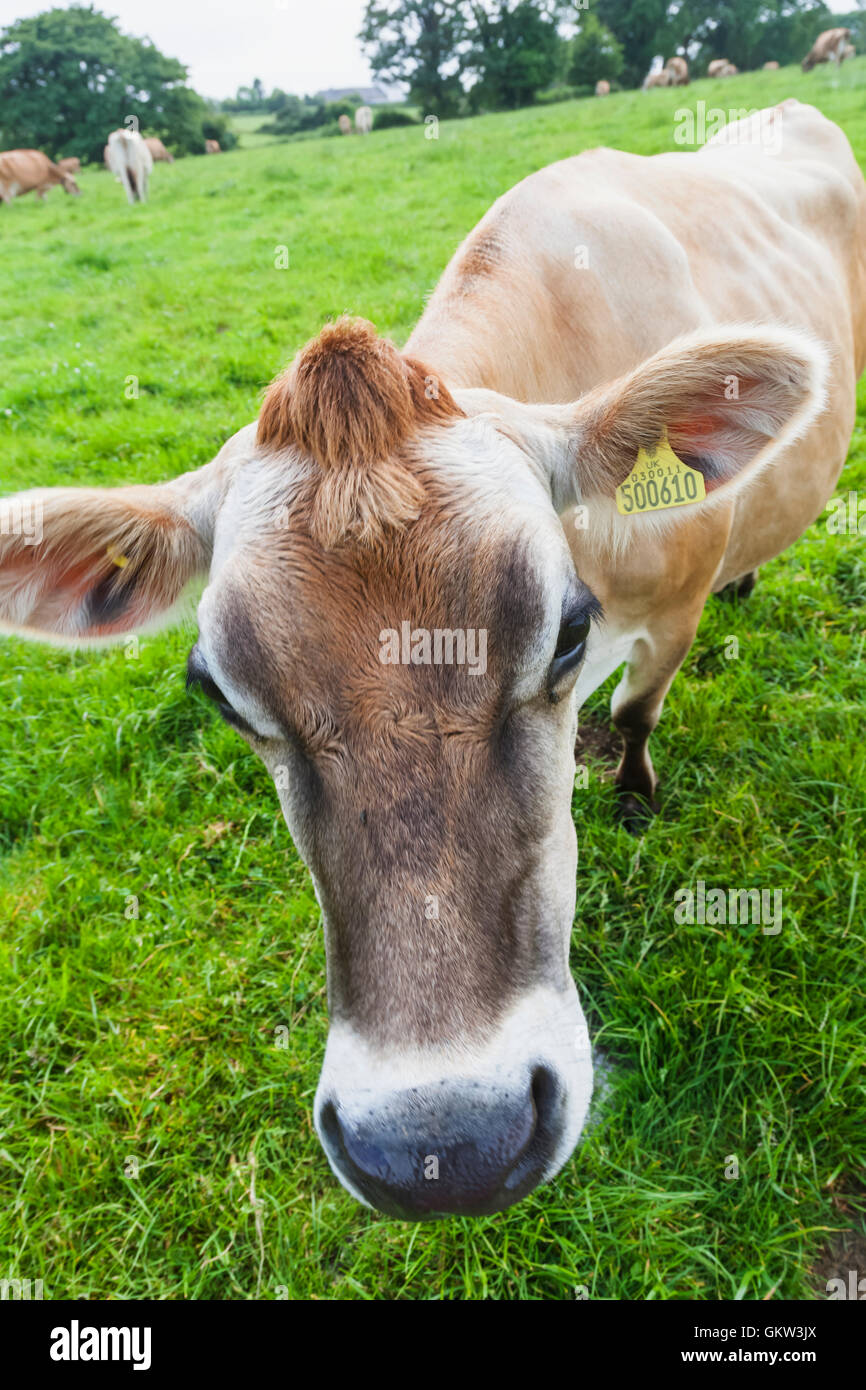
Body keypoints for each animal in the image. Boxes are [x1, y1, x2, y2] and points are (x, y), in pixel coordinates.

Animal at [1, 100, 863, 1220]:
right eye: (220, 694)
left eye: (568, 630)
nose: (445, 1145)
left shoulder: (669, 611)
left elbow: (634, 718)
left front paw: (631, 798)